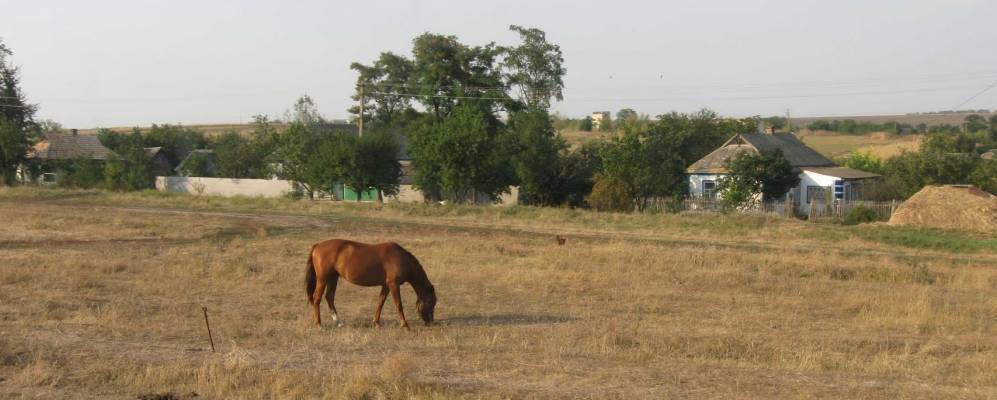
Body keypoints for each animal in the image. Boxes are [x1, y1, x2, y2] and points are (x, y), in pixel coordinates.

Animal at [304, 239, 436, 330]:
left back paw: (338, 322)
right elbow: (398, 304)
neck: (400, 258)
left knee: (329, 297)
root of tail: (317, 246)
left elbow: (380, 303)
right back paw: (319, 324)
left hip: (333, 277)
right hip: (323, 279)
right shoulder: (393, 284)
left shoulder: (386, 285)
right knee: (317, 298)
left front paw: (376, 323)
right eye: (432, 302)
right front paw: (405, 325)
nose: (431, 321)